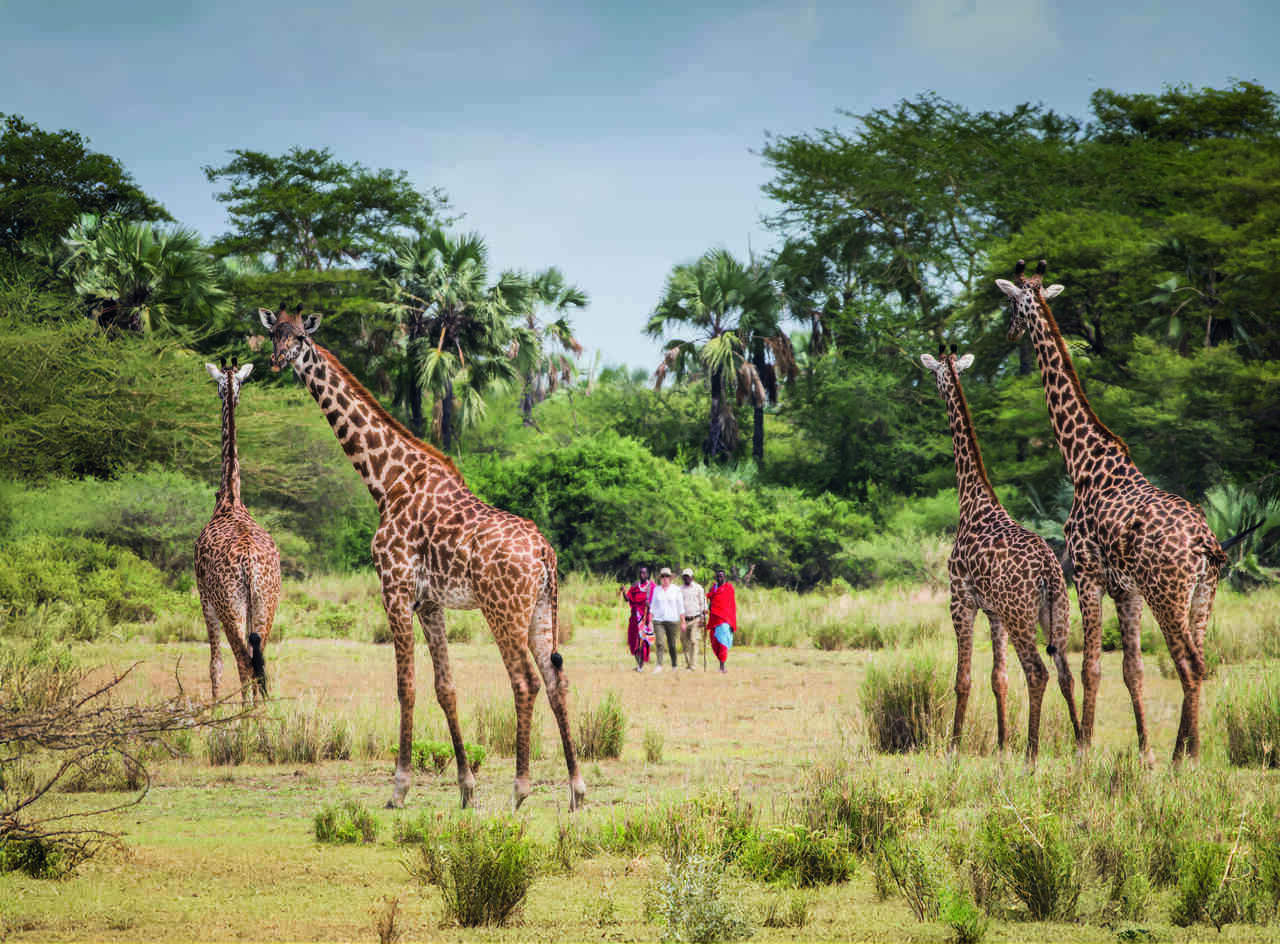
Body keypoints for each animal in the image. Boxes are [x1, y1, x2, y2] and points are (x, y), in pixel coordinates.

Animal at [193, 355, 281, 700]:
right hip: (266, 601)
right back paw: (259, 715)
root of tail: (250, 564)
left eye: (219, 385)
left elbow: (215, 664)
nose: (230, 395)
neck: (230, 496)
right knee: (259, 660)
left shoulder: (204, 595)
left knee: (243, 662)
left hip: (229, 604)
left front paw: (216, 709)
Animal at [261, 305, 588, 803]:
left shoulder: (394, 588)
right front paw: (467, 789)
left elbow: (406, 686)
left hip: (502, 609)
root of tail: (545, 554)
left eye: (300, 337)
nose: (278, 360)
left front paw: (399, 788)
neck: (386, 481)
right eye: (273, 333)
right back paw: (576, 790)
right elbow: (445, 686)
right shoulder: (430, 602)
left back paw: (520, 788)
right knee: (556, 680)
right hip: (541, 609)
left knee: (525, 680)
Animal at [921, 345, 1080, 757]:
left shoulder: (961, 599)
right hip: (1055, 612)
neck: (972, 502)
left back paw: (1033, 752)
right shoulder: (994, 612)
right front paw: (1002, 744)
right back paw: (1080, 744)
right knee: (1066, 672)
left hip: (1021, 613)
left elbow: (963, 678)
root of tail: (1048, 572)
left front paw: (954, 747)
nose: (935, 390)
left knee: (1038, 671)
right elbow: (999, 678)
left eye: (935, 373)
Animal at [993, 260, 1223, 762]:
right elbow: (1132, 669)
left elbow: (1092, 665)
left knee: (1188, 662)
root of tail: (1204, 543)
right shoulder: (1126, 591)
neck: (1083, 460)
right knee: (1199, 659)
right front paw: (1145, 752)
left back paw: (1188, 756)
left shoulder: (1086, 571)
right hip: (1203, 593)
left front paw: (1083, 747)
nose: (1008, 332)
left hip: (1167, 593)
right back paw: (1182, 750)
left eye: (1011, 303)